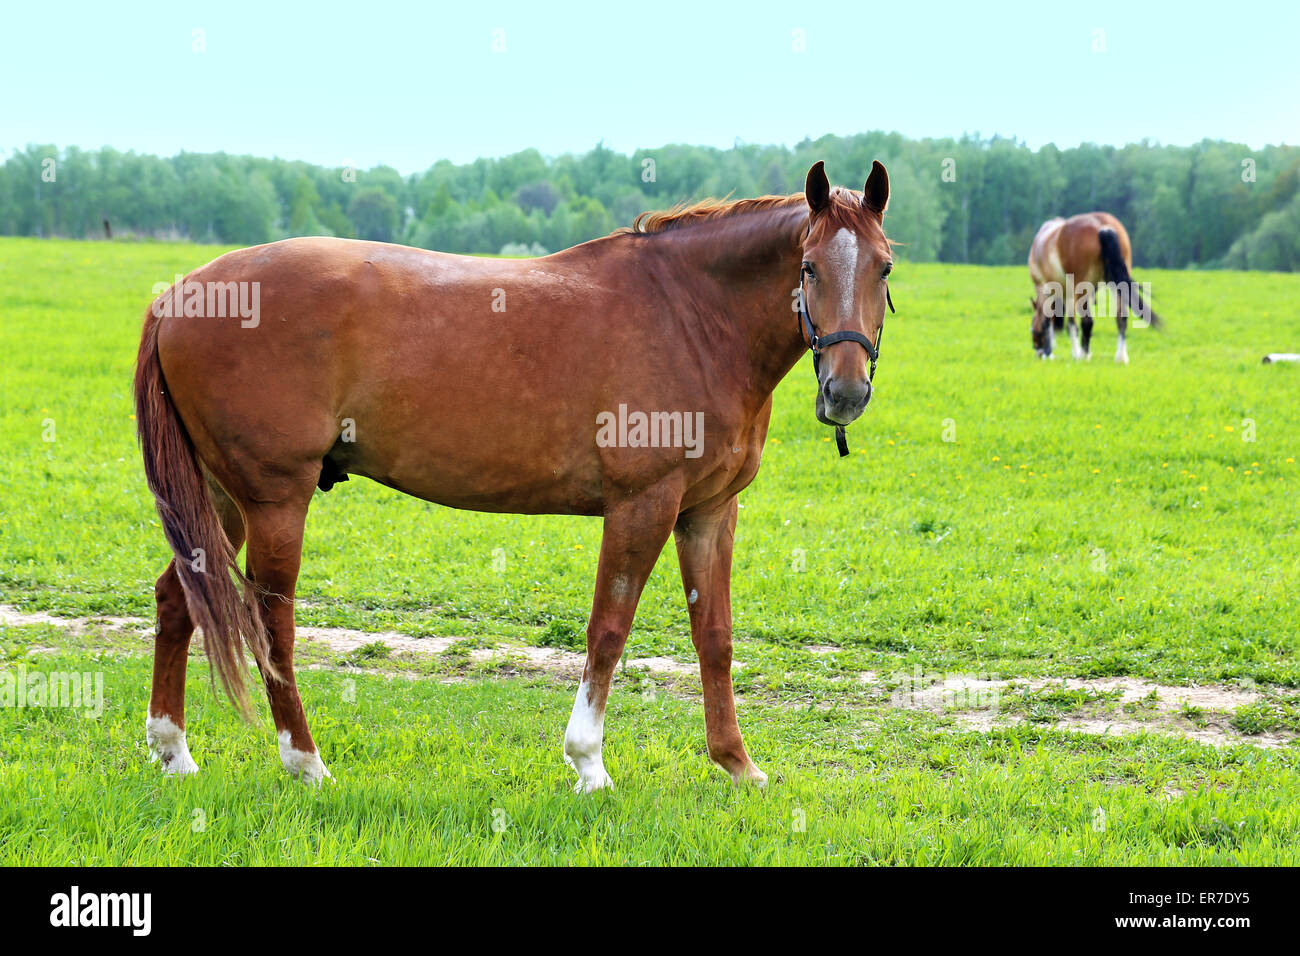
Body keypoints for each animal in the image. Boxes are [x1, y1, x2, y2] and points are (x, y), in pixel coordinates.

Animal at [134, 162, 894, 790]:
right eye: (808, 267)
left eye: (884, 268)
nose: (846, 392)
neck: (689, 316)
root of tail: (182, 296)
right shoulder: (642, 505)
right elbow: (608, 629)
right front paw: (589, 764)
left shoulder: (708, 513)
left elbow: (716, 637)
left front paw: (737, 765)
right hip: (273, 498)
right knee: (272, 620)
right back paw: (306, 762)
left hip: (220, 497)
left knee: (177, 599)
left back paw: (174, 751)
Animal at [1029, 213, 1164, 361]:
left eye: (1032, 329)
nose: (1038, 351)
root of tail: (1103, 227)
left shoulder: (1046, 289)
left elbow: (1056, 322)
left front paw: (1067, 353)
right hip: (1117, 285)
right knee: (1121, 318)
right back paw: (1121, 357)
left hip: (1081, 289)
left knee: (1087, 321)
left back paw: (1084, 355)